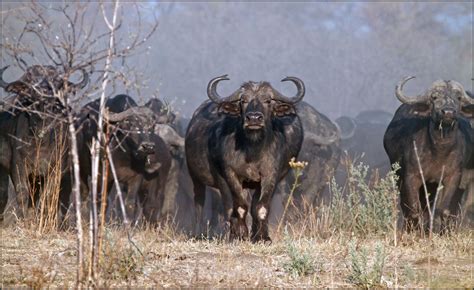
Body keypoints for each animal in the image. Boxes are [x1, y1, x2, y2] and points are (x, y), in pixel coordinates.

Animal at [185, 75, 304, 242]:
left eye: (268, 100)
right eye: (243, 100)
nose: (254, 118)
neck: (253, 151)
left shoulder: (270, 176)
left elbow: (261, 207)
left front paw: (262, 237)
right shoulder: (229, 175)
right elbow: (239, 207)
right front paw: (240, 234)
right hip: (196, 177)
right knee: (201, 203)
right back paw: (200, 234)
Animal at [384, 76, 472, 231]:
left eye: (459, 97)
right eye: (434, 97)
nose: (448, 112)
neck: (439, 150)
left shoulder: (453, 177)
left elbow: (444, 210)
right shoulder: (411, 176)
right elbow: (413, 210)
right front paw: (415, 231)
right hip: (399, 176)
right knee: (407, 206)